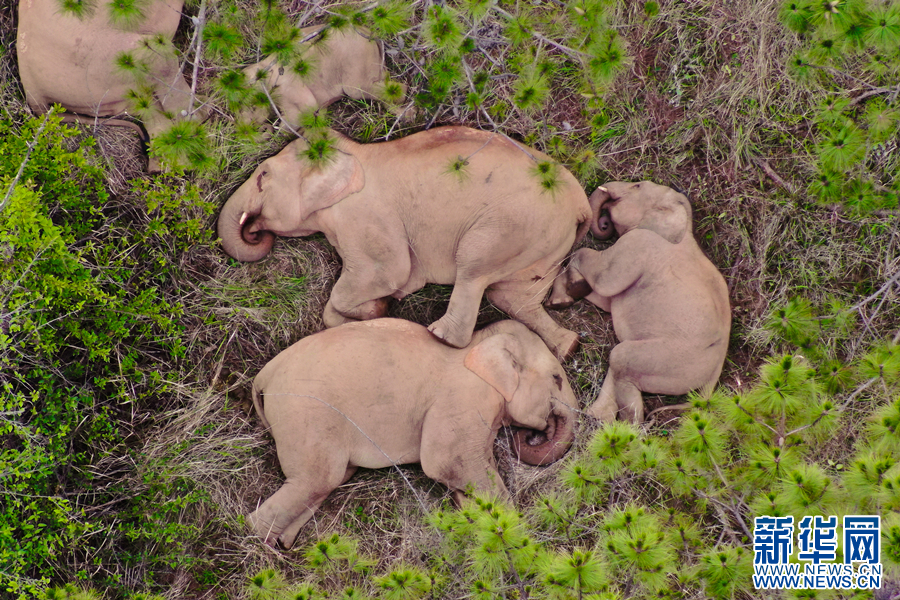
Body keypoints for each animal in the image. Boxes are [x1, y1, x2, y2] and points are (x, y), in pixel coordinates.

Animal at [217, 126, 593, 359]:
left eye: (263, 177)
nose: (255, 230)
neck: (353, 152)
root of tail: (582, 205)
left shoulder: (367, 217)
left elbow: (389, 272)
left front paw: (378, 307)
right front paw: (375, 311)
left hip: (512, 224)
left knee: (474, 269)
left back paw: (438, 335)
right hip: (546, 243)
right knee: (513, 297)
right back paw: (568, 346)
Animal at [240, 25, 395, 129]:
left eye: (252, 107)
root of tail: (369, 32)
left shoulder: (286, 86)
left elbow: (306, 108)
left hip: (357, 62)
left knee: (359, 90)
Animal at [248, 318, 578, 548]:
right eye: (557, 378)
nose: (533, 434)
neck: (479, 342)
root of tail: (265, 374)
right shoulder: (463, 397)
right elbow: (446, 462)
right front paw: (516, 535)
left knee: (326, 481)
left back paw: (281, 544)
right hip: (305, 412)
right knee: (317, 479)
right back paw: (254, 540)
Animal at [548, 181, 731, 423]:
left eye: (636, 185)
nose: (604, 222)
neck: (685, 229)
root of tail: (715, 374)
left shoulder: (637, 244)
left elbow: (601, 277)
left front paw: (568, 292)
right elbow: (606, 299)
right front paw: (568, 295)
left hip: (671, 360)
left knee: (620, 358)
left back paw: (627, 425)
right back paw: (597, 418)